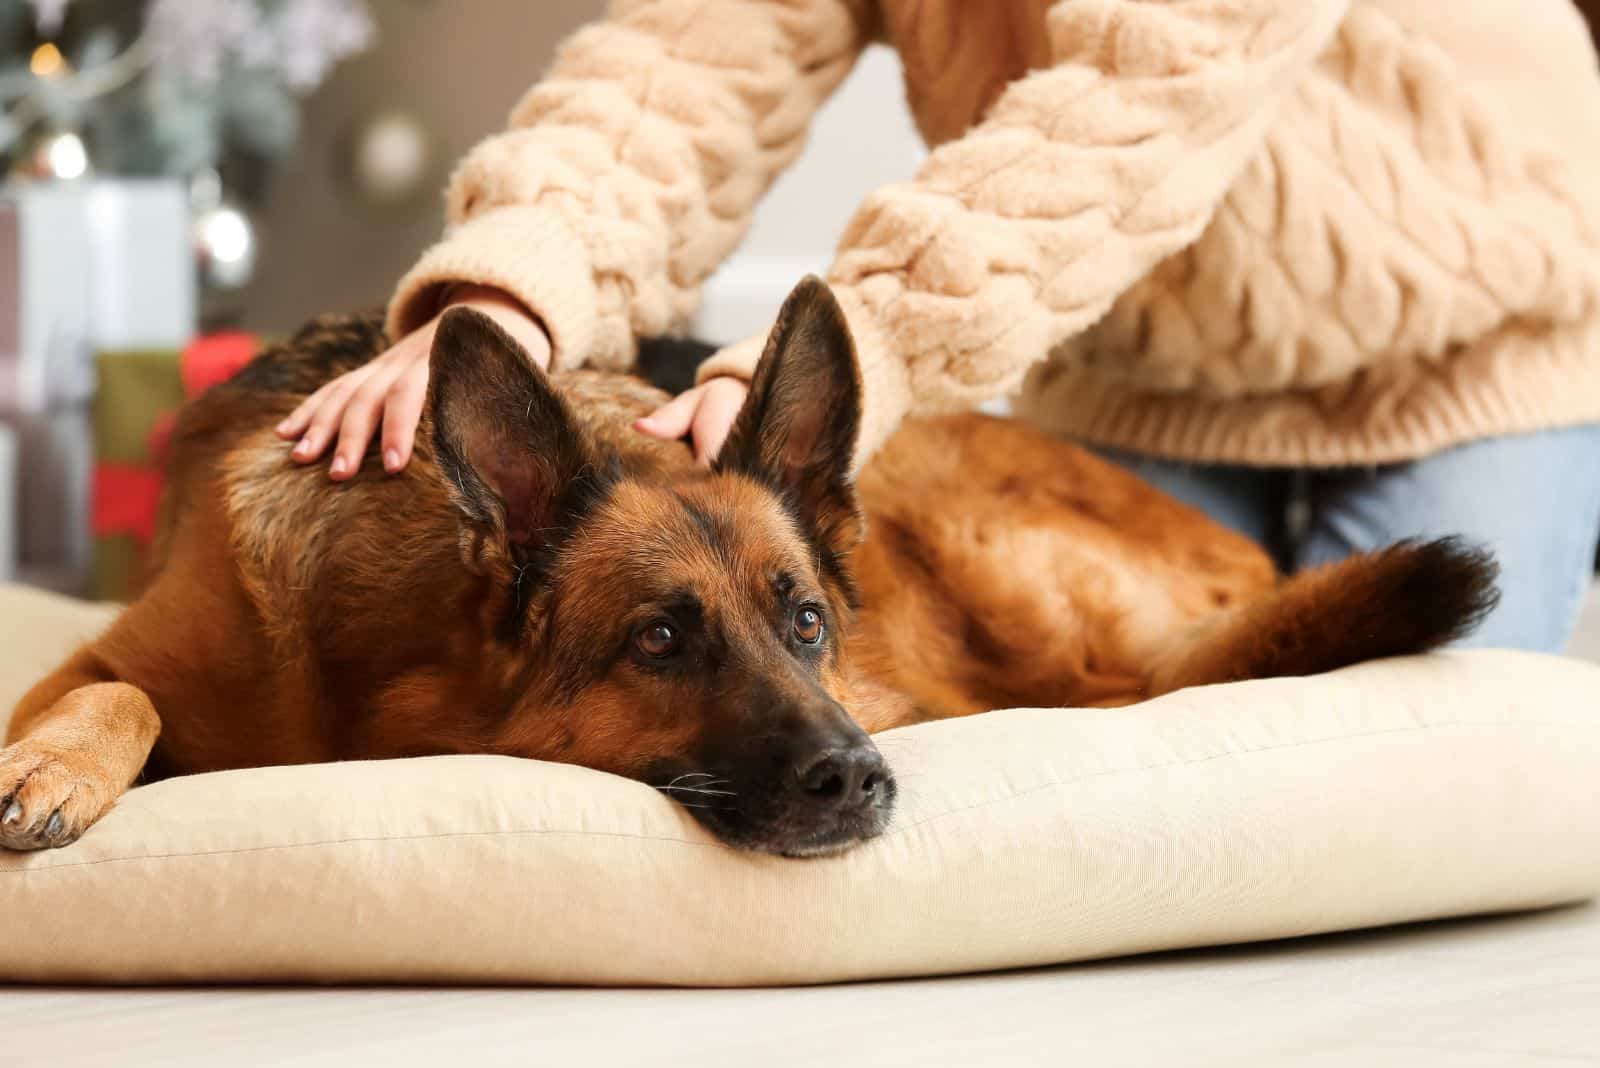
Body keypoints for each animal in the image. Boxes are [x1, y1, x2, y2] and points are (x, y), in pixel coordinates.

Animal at [3, 279, 1497, 856]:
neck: (371, 680)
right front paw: (54, 766)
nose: (862, 779)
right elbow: (116, 693)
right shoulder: (103, 657)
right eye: (661, 639)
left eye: (808, 623)